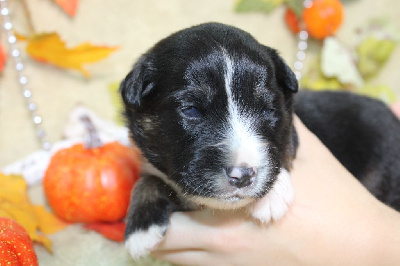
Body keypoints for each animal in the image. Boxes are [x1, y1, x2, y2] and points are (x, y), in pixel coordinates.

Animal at [119, 21, 400, 258]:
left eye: (267, 110)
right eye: (191, 110)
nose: (242, 175)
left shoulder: (291, 123)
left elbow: (283, 147)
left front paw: (271, 196)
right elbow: (147, 179)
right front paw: (141, 228)